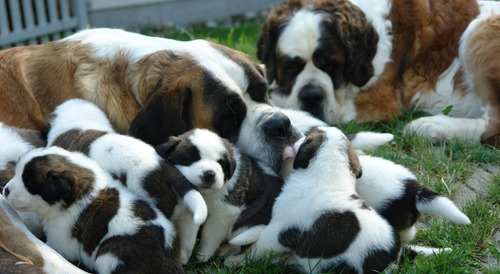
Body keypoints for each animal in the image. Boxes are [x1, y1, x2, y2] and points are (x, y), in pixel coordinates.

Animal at [258, 0, 500, 146]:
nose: (311, 96)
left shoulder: (380, 101)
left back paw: (431, 127)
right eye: (291, 66)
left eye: (331, 66)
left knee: (493, 123)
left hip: (481, 29)